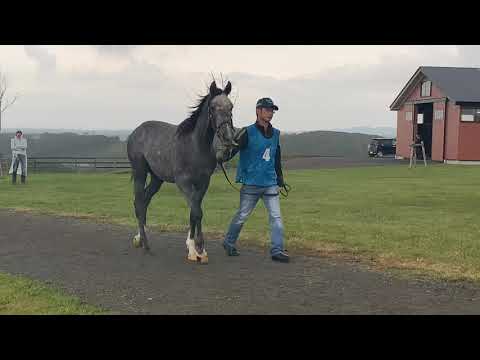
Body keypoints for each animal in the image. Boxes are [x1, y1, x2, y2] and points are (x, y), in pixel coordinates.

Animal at [125, 80, 234, 262]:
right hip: (140, 171)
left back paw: (139, 238)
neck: (195, 146)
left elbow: (194, 211)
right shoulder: (183, 182)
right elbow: (197, 212)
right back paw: (146, 245)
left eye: (231, 106)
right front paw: (197, 249)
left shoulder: (203, 183)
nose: (228, 137)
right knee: (139, 202)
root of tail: (136, 132)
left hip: (156, 179)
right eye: (213, 107)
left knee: (144, 201)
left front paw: (195, 249)